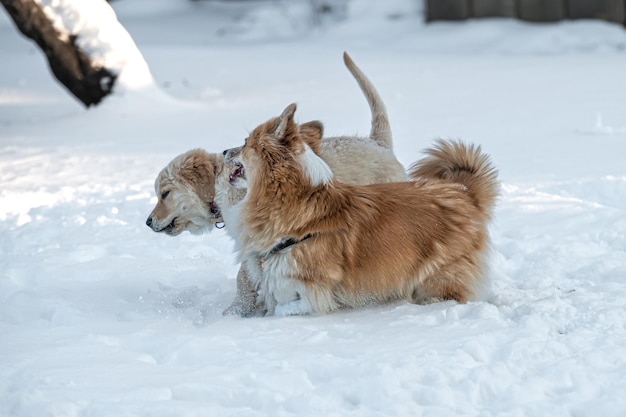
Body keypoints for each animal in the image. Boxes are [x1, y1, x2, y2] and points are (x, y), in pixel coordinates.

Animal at [146, 52, 404, 316]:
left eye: (165, 193)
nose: (148, 222)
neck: (221, 186)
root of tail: (378, 144)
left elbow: (246, 275)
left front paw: (235, 311)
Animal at [224, 104, 498, 316]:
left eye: (245, 143)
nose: (224, 151)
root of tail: (464, 191)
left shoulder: (313, 292)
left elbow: (285, 308)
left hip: (439, 276)